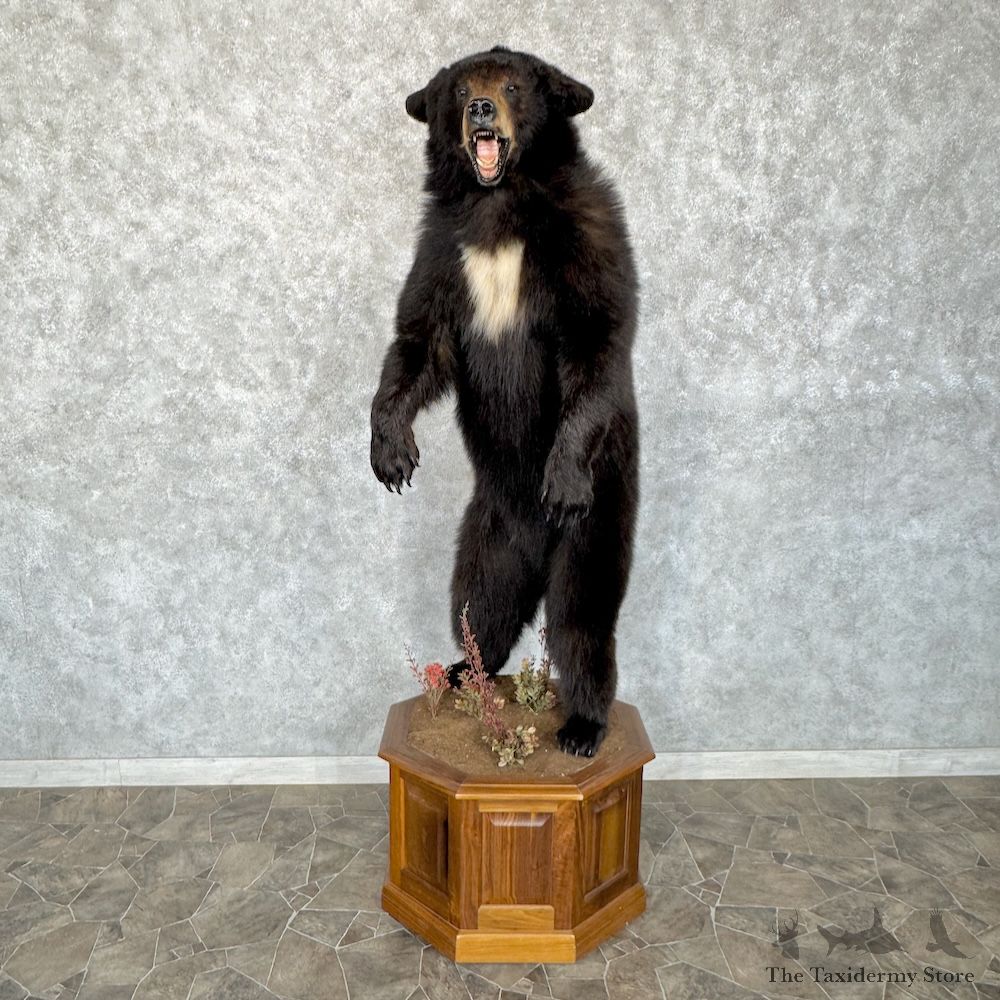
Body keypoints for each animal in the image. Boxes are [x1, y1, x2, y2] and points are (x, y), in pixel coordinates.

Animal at [370, 46, 638, 757]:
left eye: (515, 85)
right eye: (461, 89)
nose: (482, 109)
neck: (499, 208)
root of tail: (536, 554)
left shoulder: (584, 238)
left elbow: (594, 341)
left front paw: (562, 475)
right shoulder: (442, 254)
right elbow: (420, 341)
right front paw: (391, 449)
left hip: (601, 515)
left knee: (581, 616)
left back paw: (583, 725)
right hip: (487, 532)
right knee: (478, 601)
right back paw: (463, 674)